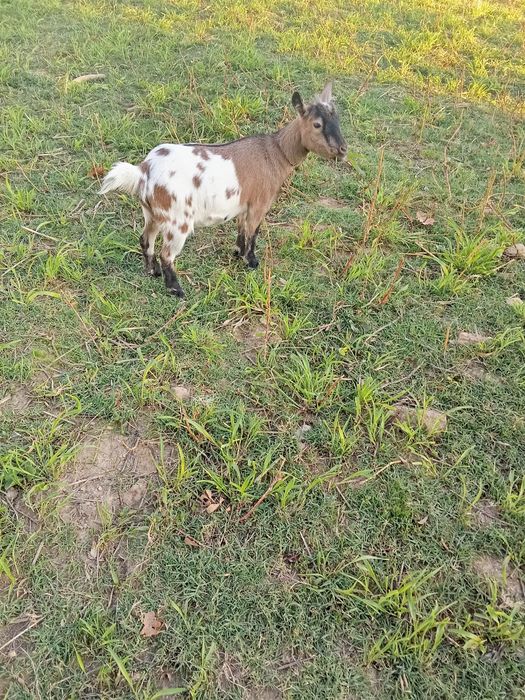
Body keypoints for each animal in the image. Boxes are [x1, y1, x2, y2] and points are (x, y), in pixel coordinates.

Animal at [99, 83, 347, 298]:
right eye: (317, 124)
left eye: (337, 119)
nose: (343, 149)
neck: (275, 152)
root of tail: (144, 169)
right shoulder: (259, 204)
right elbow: (253, 232)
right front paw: (251, 262)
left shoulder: (243, 204)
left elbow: (241, 230)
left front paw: (238, 253)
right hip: (178, 220)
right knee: (166, 254)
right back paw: (176, 290)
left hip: (152, 213)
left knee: (145, 240)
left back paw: (153, 272)